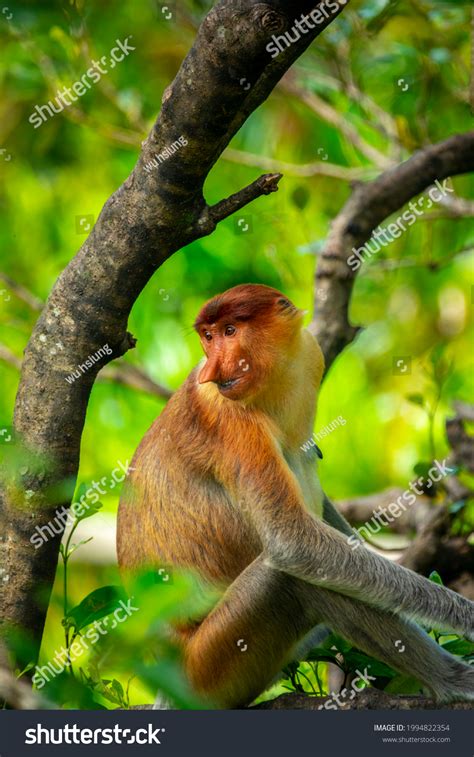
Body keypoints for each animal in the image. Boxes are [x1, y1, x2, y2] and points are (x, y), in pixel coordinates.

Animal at [117, 284, 474, 708]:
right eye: (208, 336)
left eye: (229, 331)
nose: (211, 372)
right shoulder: (229, 418)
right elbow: (293, 541)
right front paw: (465, 616)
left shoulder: (309, 354)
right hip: (207, 669)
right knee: (289, 578)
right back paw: (455, 683)